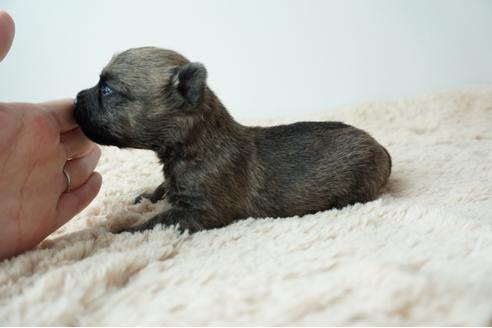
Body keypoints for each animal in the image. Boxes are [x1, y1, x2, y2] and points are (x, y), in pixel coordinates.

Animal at [74, 48, 392, 233]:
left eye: (107, 89)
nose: (76, 97)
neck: (197, 143)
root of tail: (381, 149)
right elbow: (163, 190)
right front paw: (149, 196)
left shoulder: (200, 212)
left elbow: (154, 222)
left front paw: (118, 230)